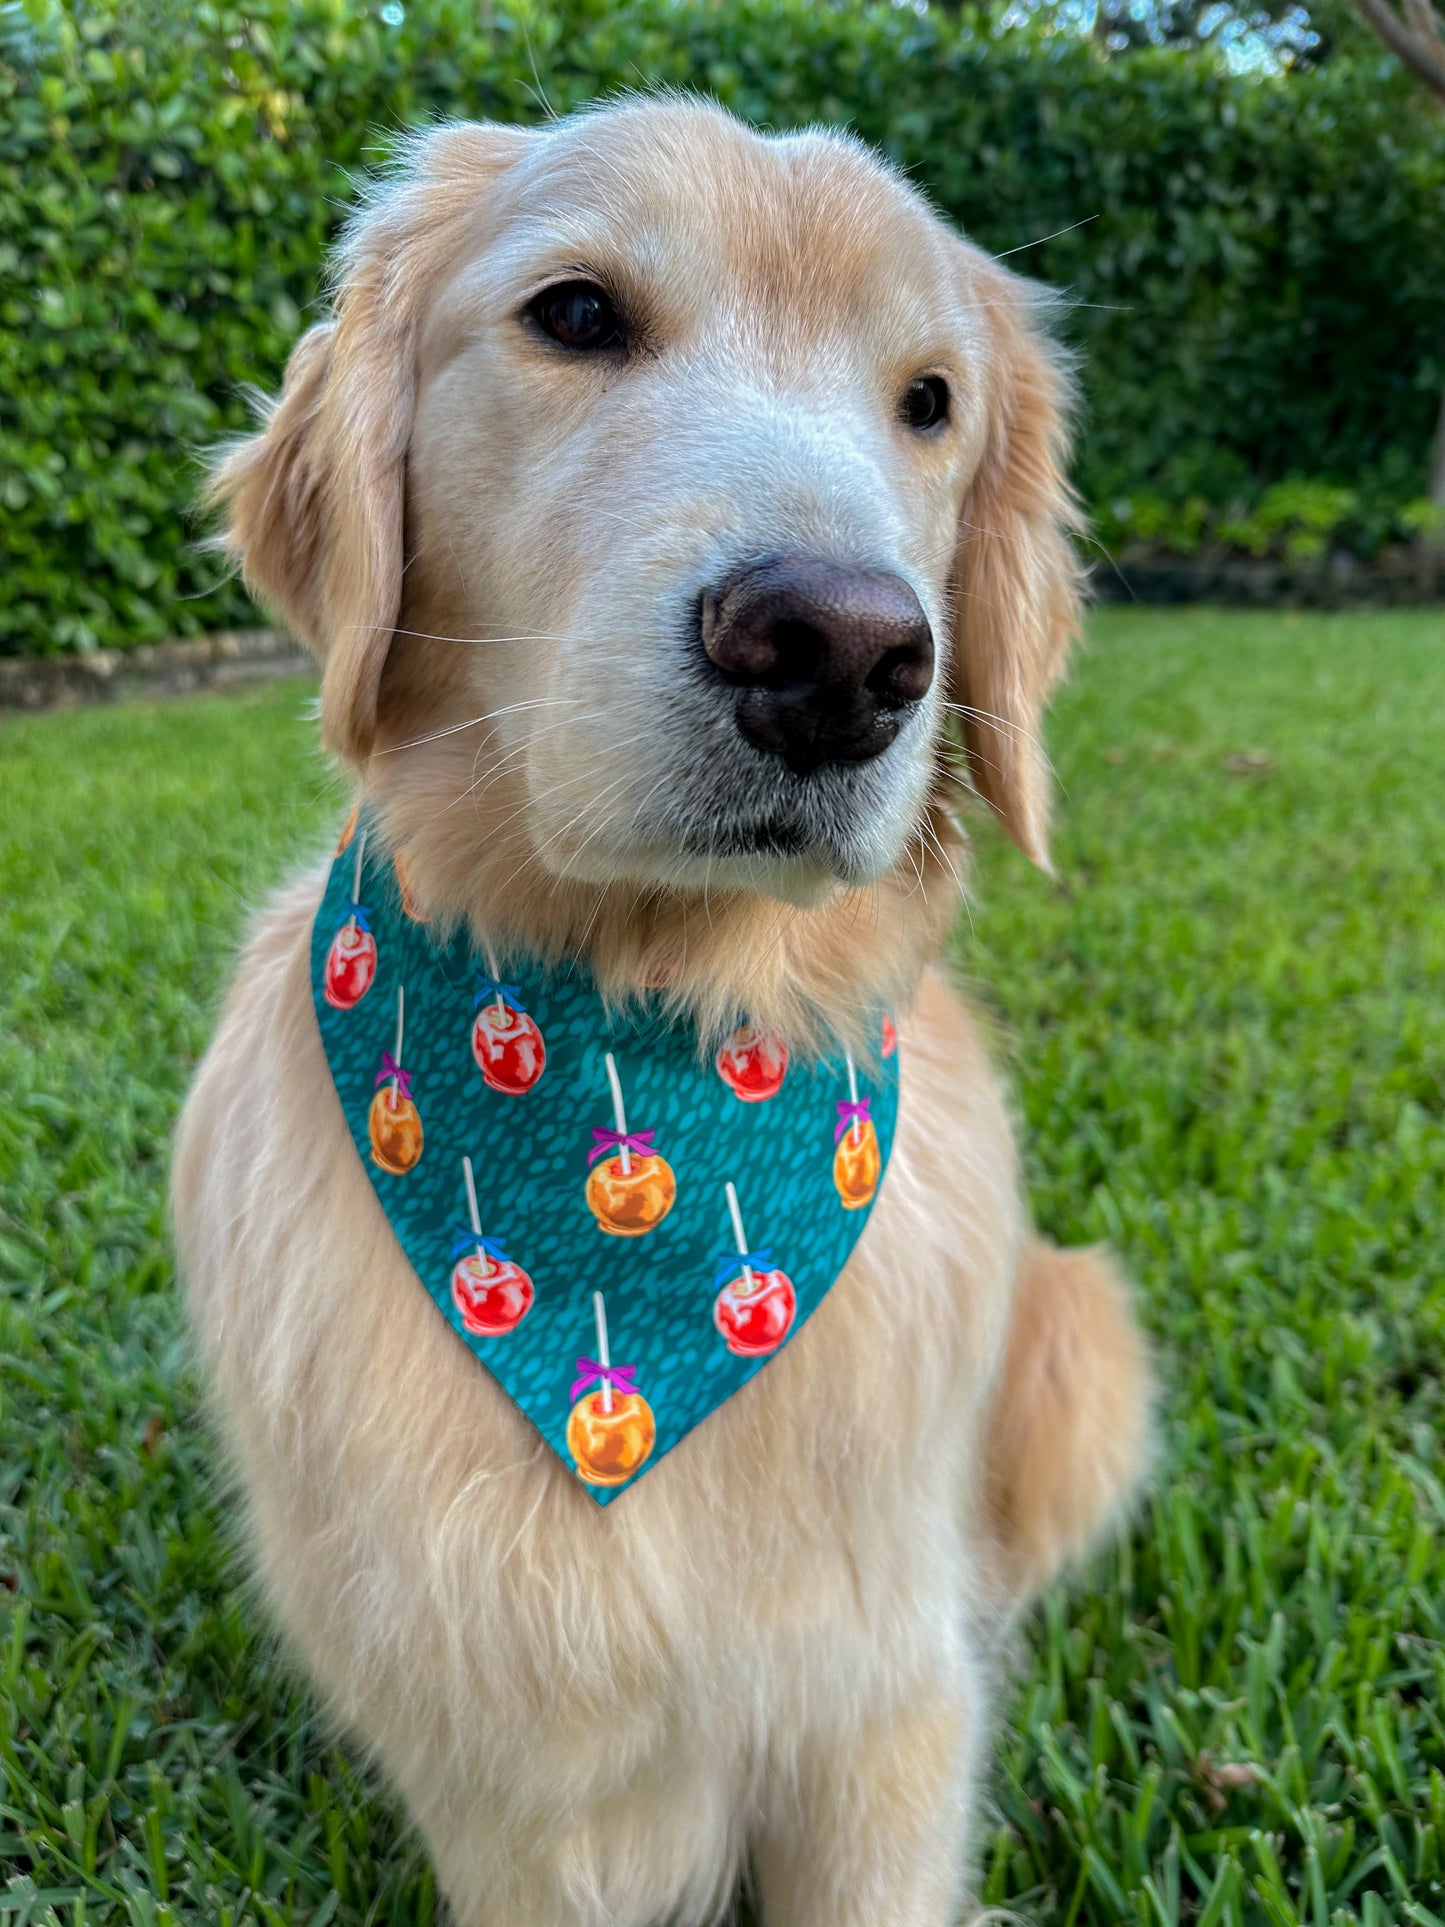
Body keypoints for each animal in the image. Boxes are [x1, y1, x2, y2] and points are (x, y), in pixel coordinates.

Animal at [175, 97, 1156, 1919]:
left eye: (930, 401)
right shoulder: (505, 1775)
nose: (839, 652)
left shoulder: (880, 1719)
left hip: (1084, 1340)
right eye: (574, 314)